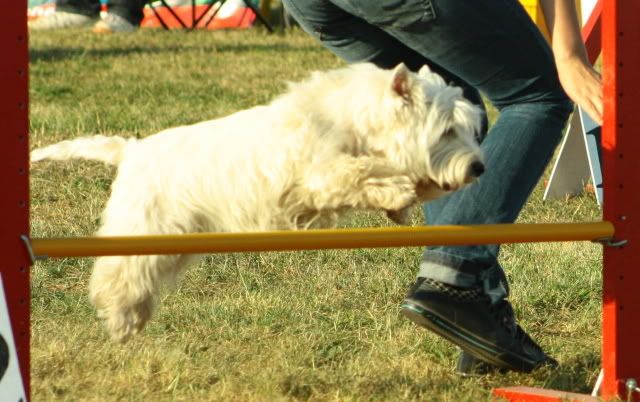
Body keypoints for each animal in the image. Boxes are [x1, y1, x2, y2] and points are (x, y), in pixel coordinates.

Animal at [31, 62, 485, 342]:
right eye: (447, 131)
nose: (478, 168)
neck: (349, 122)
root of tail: (130, 151)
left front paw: (401, 202)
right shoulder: (318, 176)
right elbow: (357, 174)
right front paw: (397, 191)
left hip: (172, 242)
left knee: (140, 278)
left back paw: (137, 317)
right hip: (140, 228)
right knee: (114, 276)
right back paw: (122, 322)